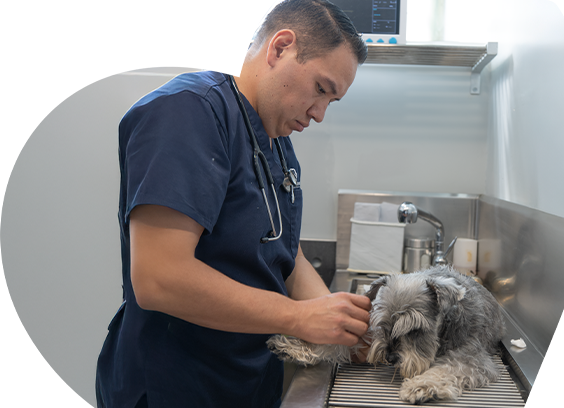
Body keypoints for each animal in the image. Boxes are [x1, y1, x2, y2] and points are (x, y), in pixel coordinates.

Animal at [266, 264, 504, 404]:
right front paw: (295, 348)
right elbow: (338, 341)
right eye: (383, 324)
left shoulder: (472, 358)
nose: (390, 358)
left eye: (415, 330)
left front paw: (420, 386)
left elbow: (448, 369)